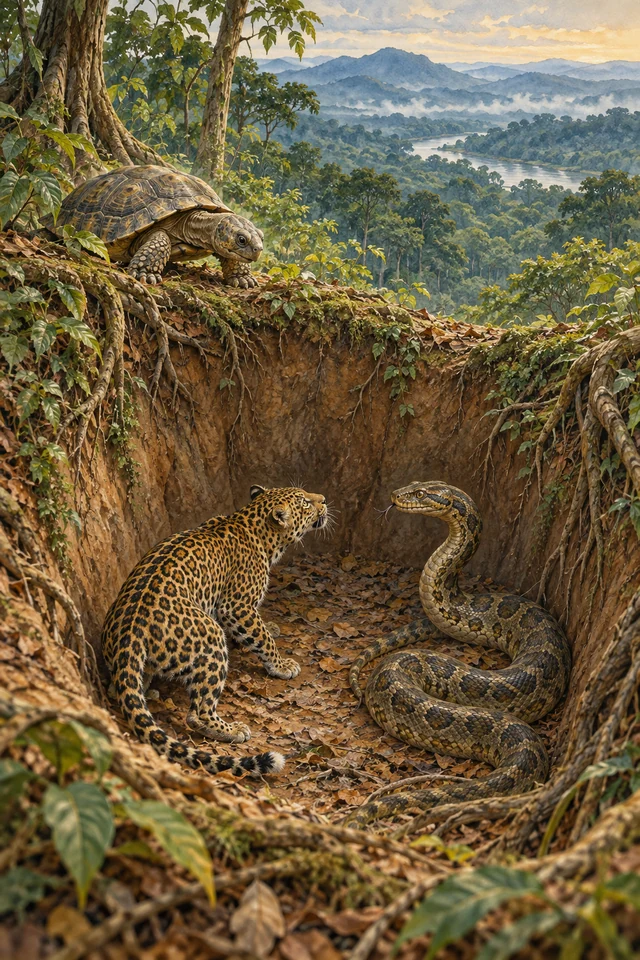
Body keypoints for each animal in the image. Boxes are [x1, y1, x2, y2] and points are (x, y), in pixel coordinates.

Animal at [102, 484, 328, 777]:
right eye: (304, 502)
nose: (323, 500)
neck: (255, 529)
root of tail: (129, 631)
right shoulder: (236, 606)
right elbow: (262, 638)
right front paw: (281, 665)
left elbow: (259, 631)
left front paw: (271, 627)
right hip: (210, 636)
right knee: (197, 713)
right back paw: (232, 729)